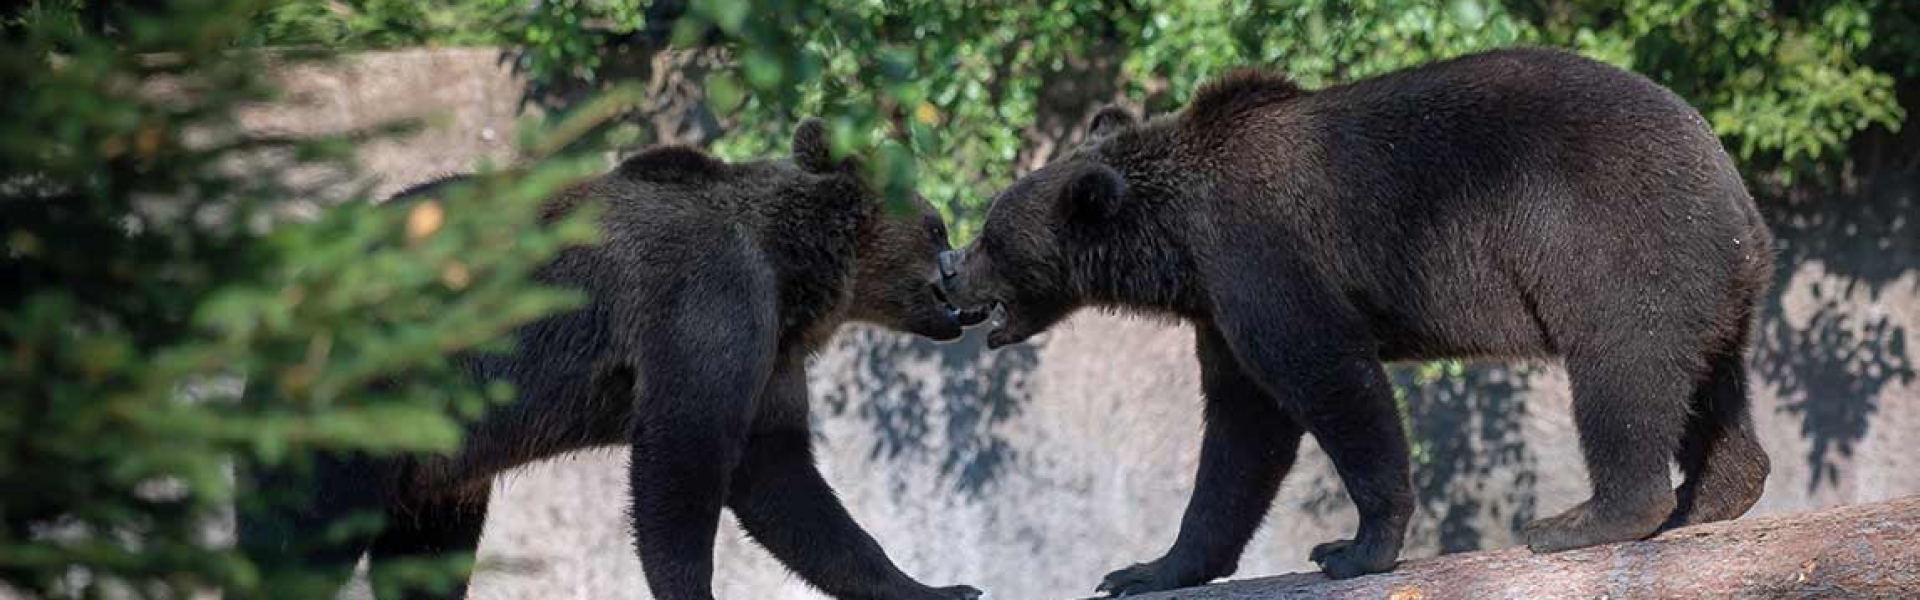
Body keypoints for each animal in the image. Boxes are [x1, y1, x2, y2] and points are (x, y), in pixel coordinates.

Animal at [236, 118, 990, 600]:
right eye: (937, 226)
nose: (961, 270)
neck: (790, 270)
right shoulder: (707, 304)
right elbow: (683, 460)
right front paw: (690, 588)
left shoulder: (770, 351)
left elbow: (781, 475)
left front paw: (939, 586)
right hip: (361, 395)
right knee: (301, 533)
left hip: (437, 457)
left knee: (426, 552)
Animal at [940, 48, 1766, 596]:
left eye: (991, 234)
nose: (948, 264)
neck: (1178, 246)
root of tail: (1738, 195)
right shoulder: (1223, 308)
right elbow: (1241, 434)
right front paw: (1148, 567)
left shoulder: (1264, 256)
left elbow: (1330, 382)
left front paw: (1348, 548)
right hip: (1707, 285)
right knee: (1711, 388)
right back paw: (1709, 498)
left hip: (1612, 245)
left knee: (1619, 372)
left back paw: (1584, 519)